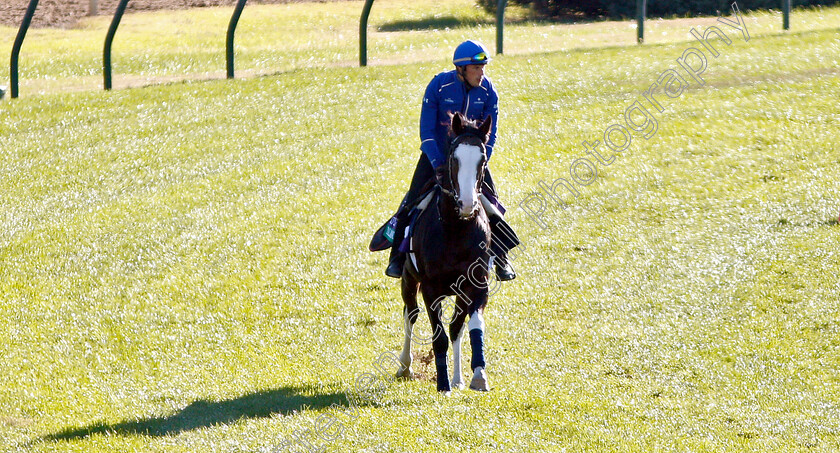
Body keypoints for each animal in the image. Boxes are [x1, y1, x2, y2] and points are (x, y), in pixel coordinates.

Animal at [398, 112, 496, 392]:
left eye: (482, 160)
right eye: (454, 158)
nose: (467, 204)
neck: (455, 230)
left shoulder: (476, 285)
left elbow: (469, 326)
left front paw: (477, 375)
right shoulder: (431, 289)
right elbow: (438, 335)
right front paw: (443, 384)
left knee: (456, 328)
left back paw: (458, 378)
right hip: (409, 279)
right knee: (410, 314)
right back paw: (405, 366)